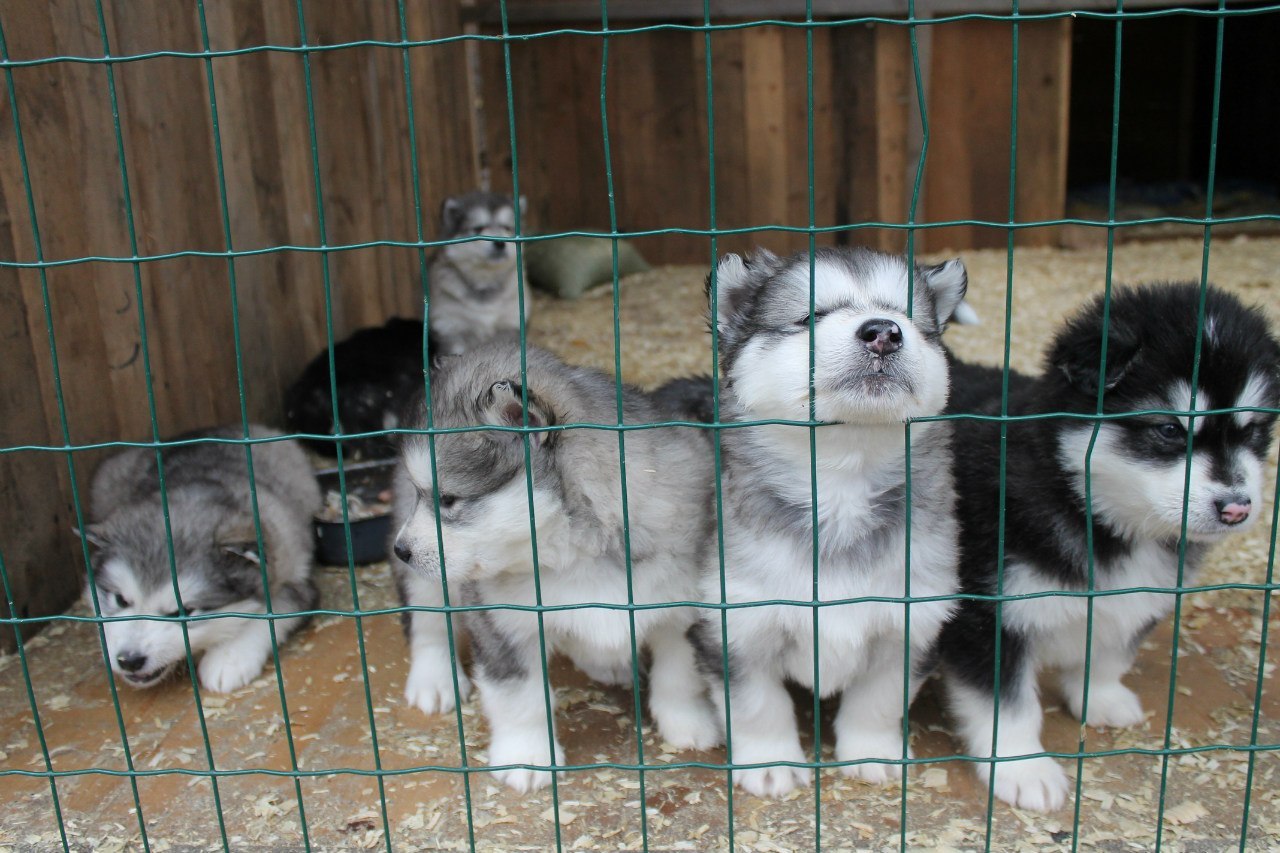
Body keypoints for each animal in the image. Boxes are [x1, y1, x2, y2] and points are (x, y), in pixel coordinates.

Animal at [80, 425, 322, 691]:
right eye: (121, 600)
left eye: (183, 611)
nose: (129, 661)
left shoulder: (296, 583)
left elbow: (268, 615)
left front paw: (228, 659)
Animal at [389, 338, 721, 788]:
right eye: (424, 494)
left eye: (448, 499)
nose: (400, 550)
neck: (575, 552)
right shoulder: (502, 623)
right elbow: (519, 696)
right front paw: (525, 758)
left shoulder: (680, 608)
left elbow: (680, 676)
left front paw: (688, 725)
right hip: (425, 581)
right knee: (426, 623)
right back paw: (434, 680)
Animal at [430, 189, 529, 356]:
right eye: (478, 229)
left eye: (507, 228)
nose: (500, 243)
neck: (485, 281)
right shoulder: (451, 328)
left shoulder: (510, 324)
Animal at [691, 245, 967, 799]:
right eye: (809, 317)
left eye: (907, 317)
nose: (883, 331)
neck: (841, 481)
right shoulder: (738, 624)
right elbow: (758, 705)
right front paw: (771, 764)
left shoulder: (911, 622)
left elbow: (878, 700)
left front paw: (873, 753)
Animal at [942, 281, 1280, 809]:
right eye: (1169, 429)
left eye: (1256, 431)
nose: (1236, 509)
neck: (1089, 505)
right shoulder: (986, 613)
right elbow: (1008, 702)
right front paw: (1023, 767)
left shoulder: (1141, 593)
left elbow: (1110, 651)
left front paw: (1101, 698)